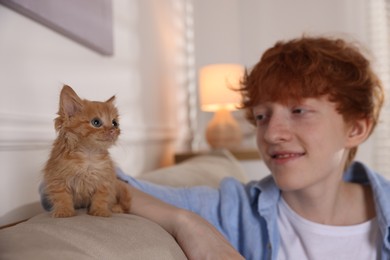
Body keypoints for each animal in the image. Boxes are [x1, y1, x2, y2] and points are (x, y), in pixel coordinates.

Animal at [43, 85, 130, 217]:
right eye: (96, 122)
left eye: (115, 123)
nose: (112, 130)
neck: (89, 154)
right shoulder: (57, 179)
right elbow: (62, 197)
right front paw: (64, 211)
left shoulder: (104, 180)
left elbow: (101, 197)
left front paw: (99, 211)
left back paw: (116, 208)